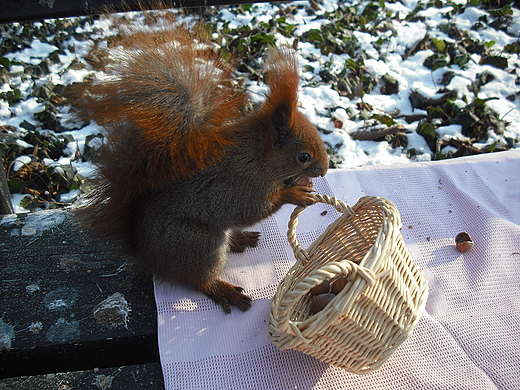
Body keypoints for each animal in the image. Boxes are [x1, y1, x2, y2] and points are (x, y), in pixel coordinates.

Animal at [70, 21, 328, 314]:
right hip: (197, 243)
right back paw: (222, 289)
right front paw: (293, 193)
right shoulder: (239, 185)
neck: (258, 157)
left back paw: (239, 240)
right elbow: (251, 209)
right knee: (196, 279)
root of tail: (147, 255)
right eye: (304, 156)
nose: (325, 170)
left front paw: (301, 184)